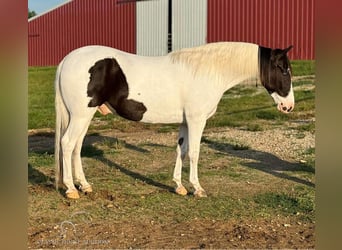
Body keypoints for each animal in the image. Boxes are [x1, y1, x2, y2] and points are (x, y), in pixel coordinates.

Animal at [54, 42, 294, 200]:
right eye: (283, 70)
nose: (288, 106)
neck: (206, 71)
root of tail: (67, 59)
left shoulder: (186, 122)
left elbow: (182, 150)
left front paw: (179, 186)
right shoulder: (197, 121)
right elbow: (195, 153)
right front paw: (197, 189)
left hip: (84, 116)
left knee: (76, 147)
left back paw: (84, 186)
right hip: (81, 115)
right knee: (67, 144)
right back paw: (71, 189)